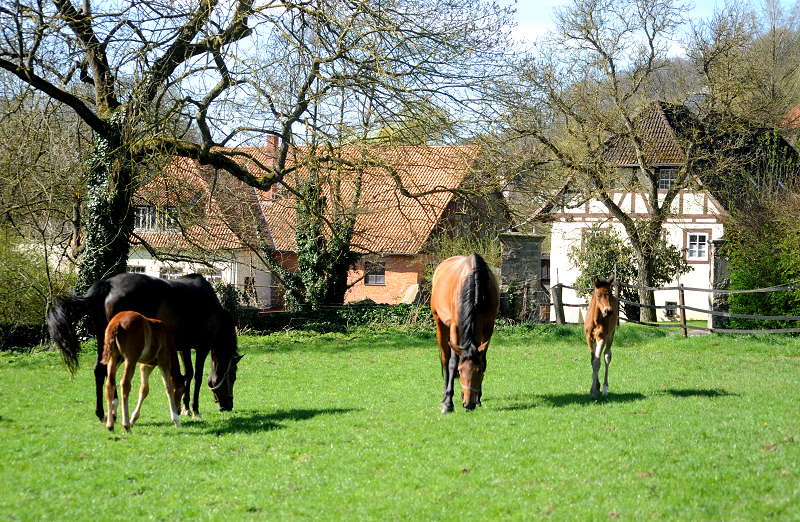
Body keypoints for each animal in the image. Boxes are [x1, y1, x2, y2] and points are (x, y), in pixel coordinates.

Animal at [46, 270, 241, 420]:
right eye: (232, 376)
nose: (228, 406)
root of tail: (108, 285)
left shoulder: (184, 347)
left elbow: (188, 373)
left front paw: (185, 407)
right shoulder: (202, 347)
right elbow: (197, 377)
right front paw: (195, 410)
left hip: (104, 341)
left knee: (101, 371)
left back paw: (105, 412)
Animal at [432, 252, 500, 410]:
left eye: (478, 371)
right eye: (460, 370)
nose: (468, 404)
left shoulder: (489, 327)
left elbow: (483, 360)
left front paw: (478, 398)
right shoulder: (455, 327)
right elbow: (452, 362)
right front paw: (448, 403)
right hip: (440, 324)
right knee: (445, 359)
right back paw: (445, 396)